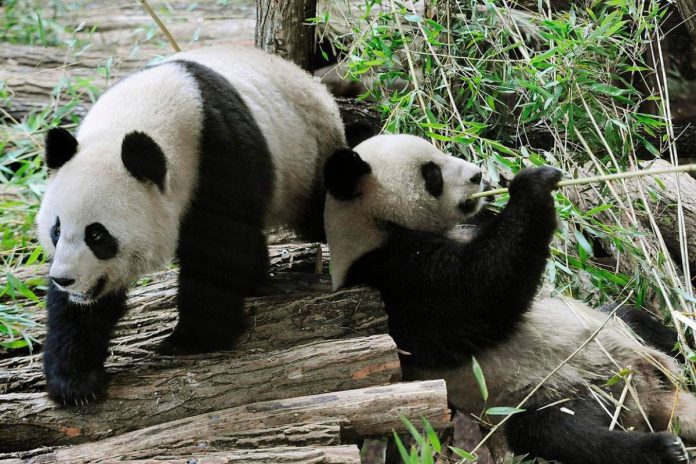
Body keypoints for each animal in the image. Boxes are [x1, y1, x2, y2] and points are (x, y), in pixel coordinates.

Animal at [37, 45, 345, 405]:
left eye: (97, 235)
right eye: (57, 230)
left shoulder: (217, 154)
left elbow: (218, 251)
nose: (64, 279)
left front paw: (191, 340)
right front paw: (75, 381)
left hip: (308, 158)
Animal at [323, 134, 696, 464]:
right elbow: (479, 295)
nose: (477, 176)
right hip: (557, 391)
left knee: (639, 320)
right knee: (560, 432)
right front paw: (532, 184)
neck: (372, 226)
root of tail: (648, 395)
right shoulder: (392, 280)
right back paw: (661, 449)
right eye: (432, 174)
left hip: (620, 334)